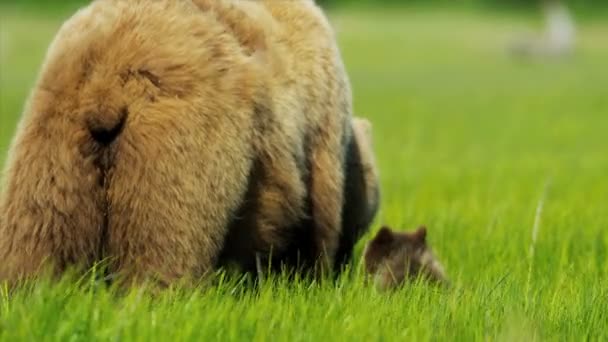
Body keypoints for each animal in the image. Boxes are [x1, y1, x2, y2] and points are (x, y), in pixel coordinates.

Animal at [0, 0, 370, 288]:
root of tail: (106, 87)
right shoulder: (319, 129)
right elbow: (318, 225)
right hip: (180, 145)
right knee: (164, 245)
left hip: (52, 142)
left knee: (35, 238)